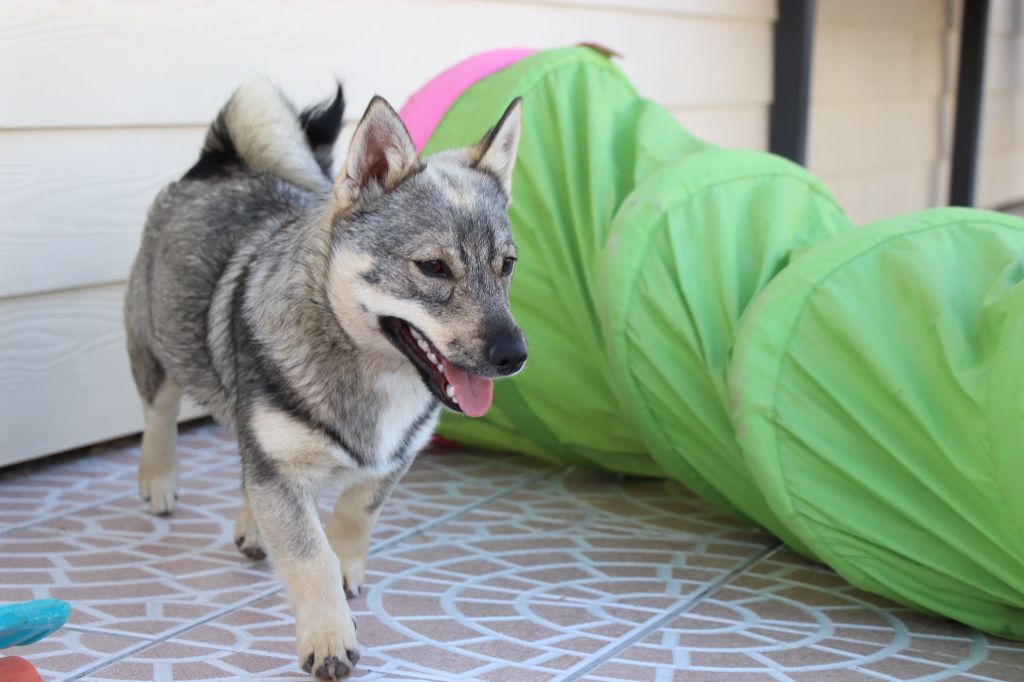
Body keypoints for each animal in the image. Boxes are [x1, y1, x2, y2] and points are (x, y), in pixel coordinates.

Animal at [124, 77, 526, 680]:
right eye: (432, 267)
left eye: (507, 266)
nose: (515, 355)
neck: (367, 368)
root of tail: (223, 160)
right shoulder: (279, 468)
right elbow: (308, 555)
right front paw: (329, 636)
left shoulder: (392, 458)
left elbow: (355, 515)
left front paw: (343, 565)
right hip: (159, 347)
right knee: (159, 411)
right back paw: (159, 477)